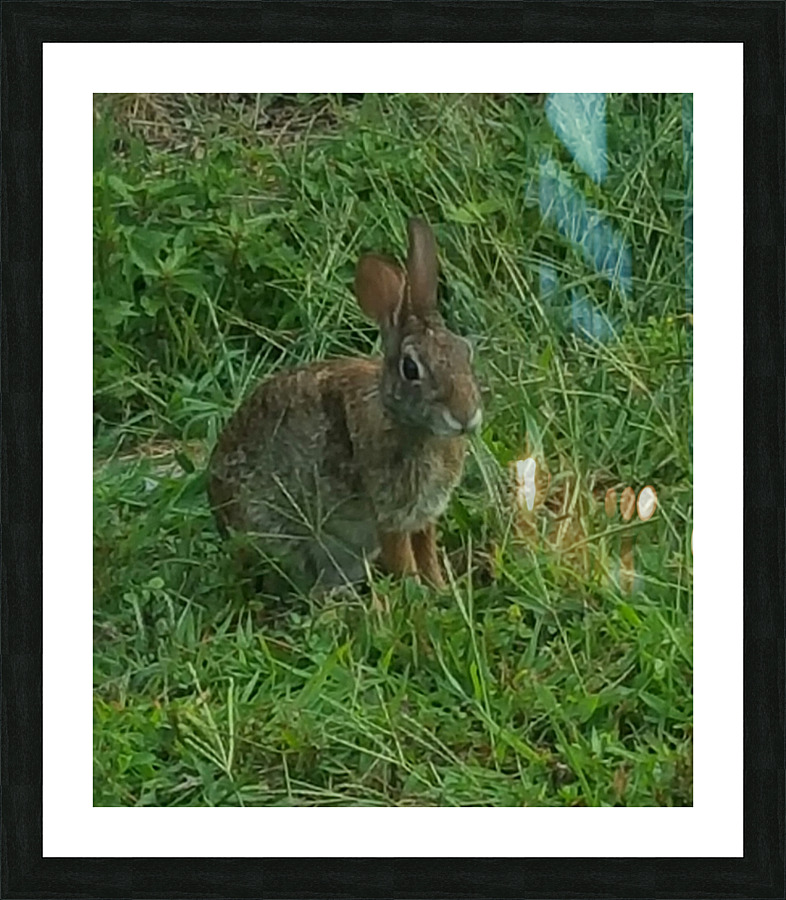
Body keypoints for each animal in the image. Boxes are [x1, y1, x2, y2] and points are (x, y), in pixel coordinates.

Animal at [208, 217, 482, 593]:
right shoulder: (389, 516)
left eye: (464, 352)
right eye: (411, 369)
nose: (465, 416)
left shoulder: (423, 518)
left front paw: (440, 590)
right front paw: (417, 595)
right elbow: (405, 560)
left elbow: (427, 554)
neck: (407, 423)